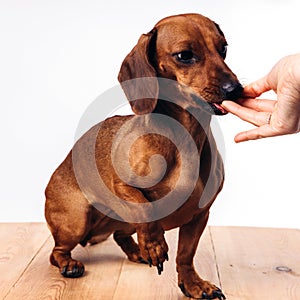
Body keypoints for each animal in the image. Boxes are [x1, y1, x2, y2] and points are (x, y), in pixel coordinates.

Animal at [45, 12, 244, 298]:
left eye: (224, 48)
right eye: (184, 55)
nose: (235, 89)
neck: (186, 138)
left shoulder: (199, 215)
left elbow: (186, 255)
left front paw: (194, 285)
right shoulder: (122, 186)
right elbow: (145, 211)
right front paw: (155, 245)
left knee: (120, 235)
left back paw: (137, 252)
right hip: (76, 219)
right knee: (57, 251)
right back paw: (71, 264)